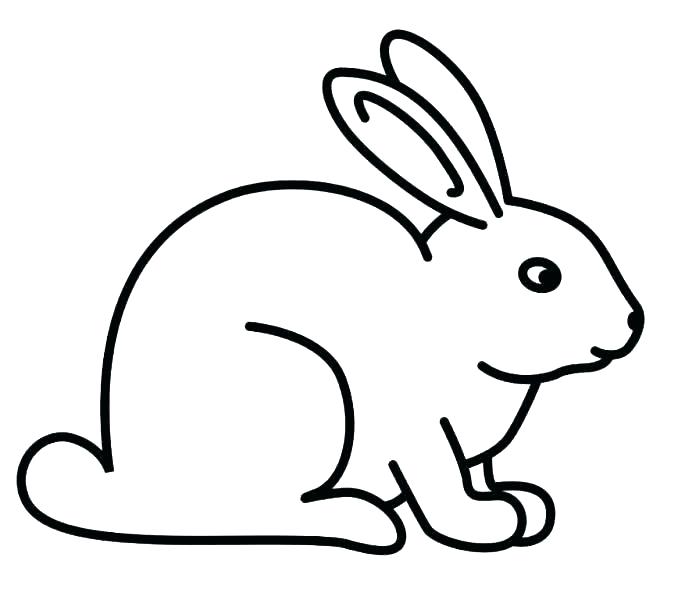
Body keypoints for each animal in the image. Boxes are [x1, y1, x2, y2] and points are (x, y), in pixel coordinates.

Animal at [18, 30, 643, 554]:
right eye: (541, 275)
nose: (631, 324)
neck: (449, 317)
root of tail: (132, 482)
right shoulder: (417, 434)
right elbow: (439, 485)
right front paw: (485, 524)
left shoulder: (471, 451)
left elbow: (478, 473)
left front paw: (522, 505)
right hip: (300, 387)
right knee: (254, 512)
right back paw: (363, 521)